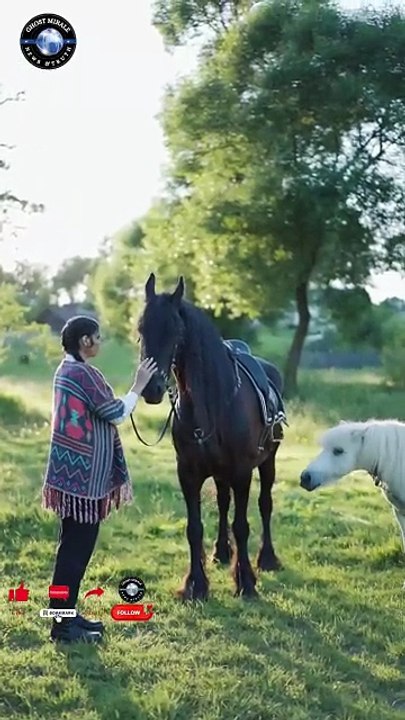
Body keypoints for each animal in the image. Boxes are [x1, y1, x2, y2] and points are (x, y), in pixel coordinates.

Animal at [136, 273, 286, 600]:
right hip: (220, 473)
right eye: (141, 328)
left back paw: (267, 558)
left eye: (176, 330)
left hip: (268, 461)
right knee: (222, 502)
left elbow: (242, 525)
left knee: (264, 504)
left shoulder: (242, 471)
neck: (212, 404)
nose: (151, 388)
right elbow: (194, 528)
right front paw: (196, 584)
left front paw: (246, 583)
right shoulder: (188, 473)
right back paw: (221, 552)